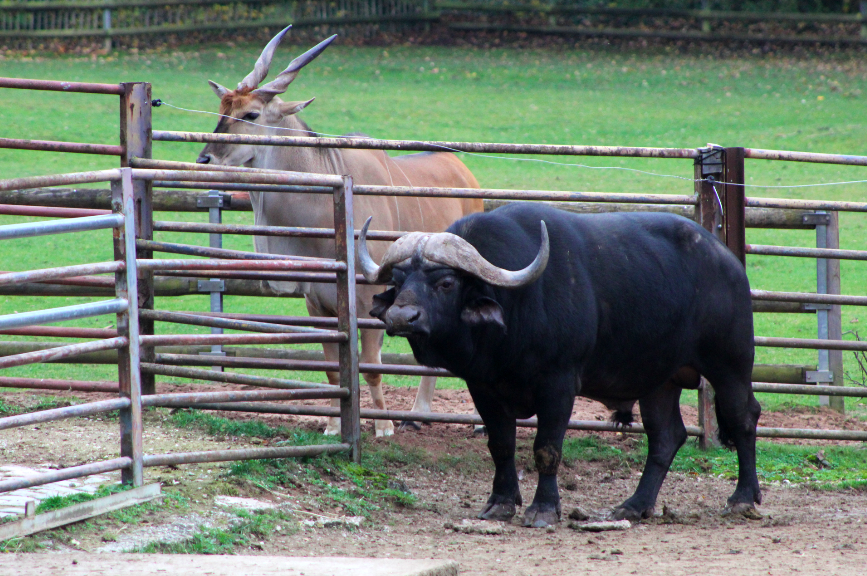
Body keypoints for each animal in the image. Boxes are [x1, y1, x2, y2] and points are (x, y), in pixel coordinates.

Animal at [357, 203, 761, 527]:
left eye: (445, 282)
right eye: (399, 280)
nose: (401, 317)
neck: (513, 312)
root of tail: (728, 261)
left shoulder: (559, 384)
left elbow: (547, 448)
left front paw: (543, 509)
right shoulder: (482, 387)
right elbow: (500, 445)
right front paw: (500, 503)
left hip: (731, 363)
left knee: (743, 417)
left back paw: (743, 499)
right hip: (659, 380)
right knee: (666, 436)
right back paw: (634, 505)